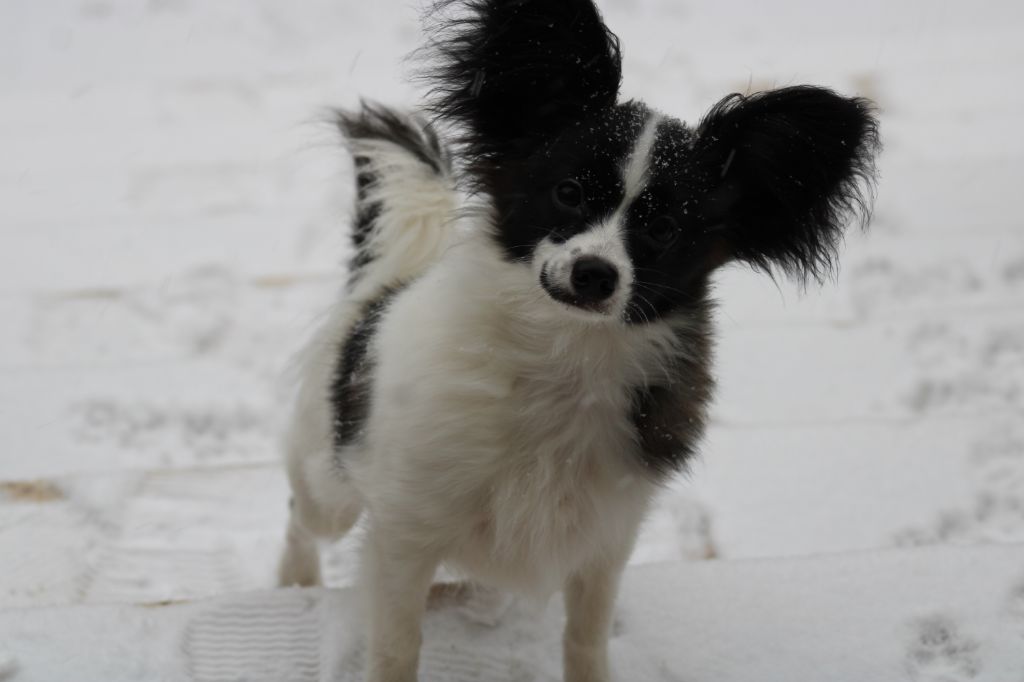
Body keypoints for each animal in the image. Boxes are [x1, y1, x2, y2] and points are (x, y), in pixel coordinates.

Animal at [278, 2, 880, 675]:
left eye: (664, 229)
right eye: (567, 193)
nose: (595, 273)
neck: (564, 356)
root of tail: (383, 284)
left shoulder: (605, 538)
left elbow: (585, 638)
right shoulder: (403, 533)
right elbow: (397, 647)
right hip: (328, 480)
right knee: (304, 518)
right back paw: (295, 584)